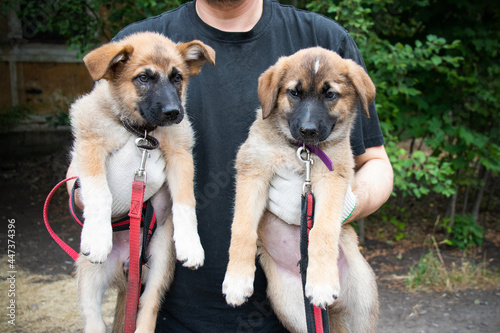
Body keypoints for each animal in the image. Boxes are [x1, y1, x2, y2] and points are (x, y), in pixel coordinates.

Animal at [69, 31, 215, 332]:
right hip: (89, 274)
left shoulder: (180, 154)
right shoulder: (89, 144)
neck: (142, 131)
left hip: (160, 262)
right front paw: (97, 236)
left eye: (177, 77)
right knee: (92, 316)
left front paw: (191, 244)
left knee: (148, 307)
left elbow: (186, 201)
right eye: (144, 78)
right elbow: (98, 191)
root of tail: (127, 267)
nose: (174, 112)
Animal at [224, 47, 378, 332]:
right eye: (294, 93)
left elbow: (323, 230)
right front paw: (237, 279)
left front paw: (322, 282)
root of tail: (335, 311)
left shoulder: (332, 180)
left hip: (363, 301)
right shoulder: (252, 172)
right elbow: (242, 228)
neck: (301, 151)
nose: (308, 130)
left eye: (330, 95)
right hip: (292, 307)